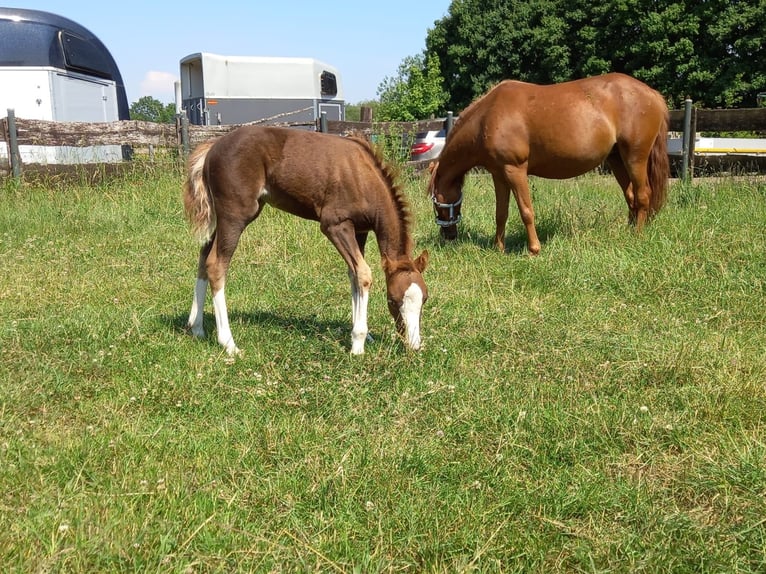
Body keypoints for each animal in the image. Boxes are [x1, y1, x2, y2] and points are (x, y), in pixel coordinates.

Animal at [183, 126, 428, 356]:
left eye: (424, 299)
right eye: (393, 300)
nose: (414, 345)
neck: (363, 177)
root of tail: (212, 147)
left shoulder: (359, 230)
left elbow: (354, 274)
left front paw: (363, 335)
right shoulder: (335, 225)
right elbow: (364, 274)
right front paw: (358, 343)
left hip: (225, 218)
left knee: (203, 256)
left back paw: (197, 328)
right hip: (235, 215)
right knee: (216, 264)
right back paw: (229, 343)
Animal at [432, 72, 672, 254]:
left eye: (436, 203)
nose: (448, 235)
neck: (487, 118)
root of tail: (653, 94)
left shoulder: (515, 170)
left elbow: (526, 211)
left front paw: (534, 249)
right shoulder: (498, 174)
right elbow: (501, 213)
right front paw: (498, 247)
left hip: (635, 157)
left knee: (642, 195)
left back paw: (637, 235)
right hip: (617, 160)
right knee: (631, 196)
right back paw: (627, 232)